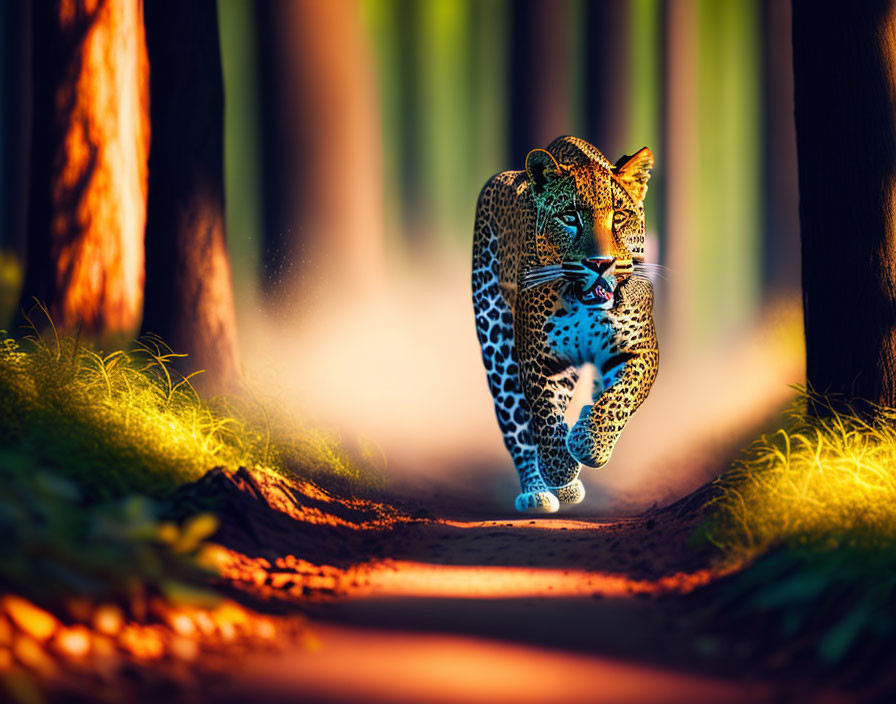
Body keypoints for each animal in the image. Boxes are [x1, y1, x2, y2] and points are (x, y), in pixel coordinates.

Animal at [476, 136, 656, 512]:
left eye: (620, 216)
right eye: (569, 217)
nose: (600, 263)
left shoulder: (640, 350)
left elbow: (621, 395)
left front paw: (591, 443)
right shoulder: (539, 356)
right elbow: (544, 416)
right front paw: (561, 469)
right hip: (496, 343)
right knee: (516, 425)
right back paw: (538, 491)